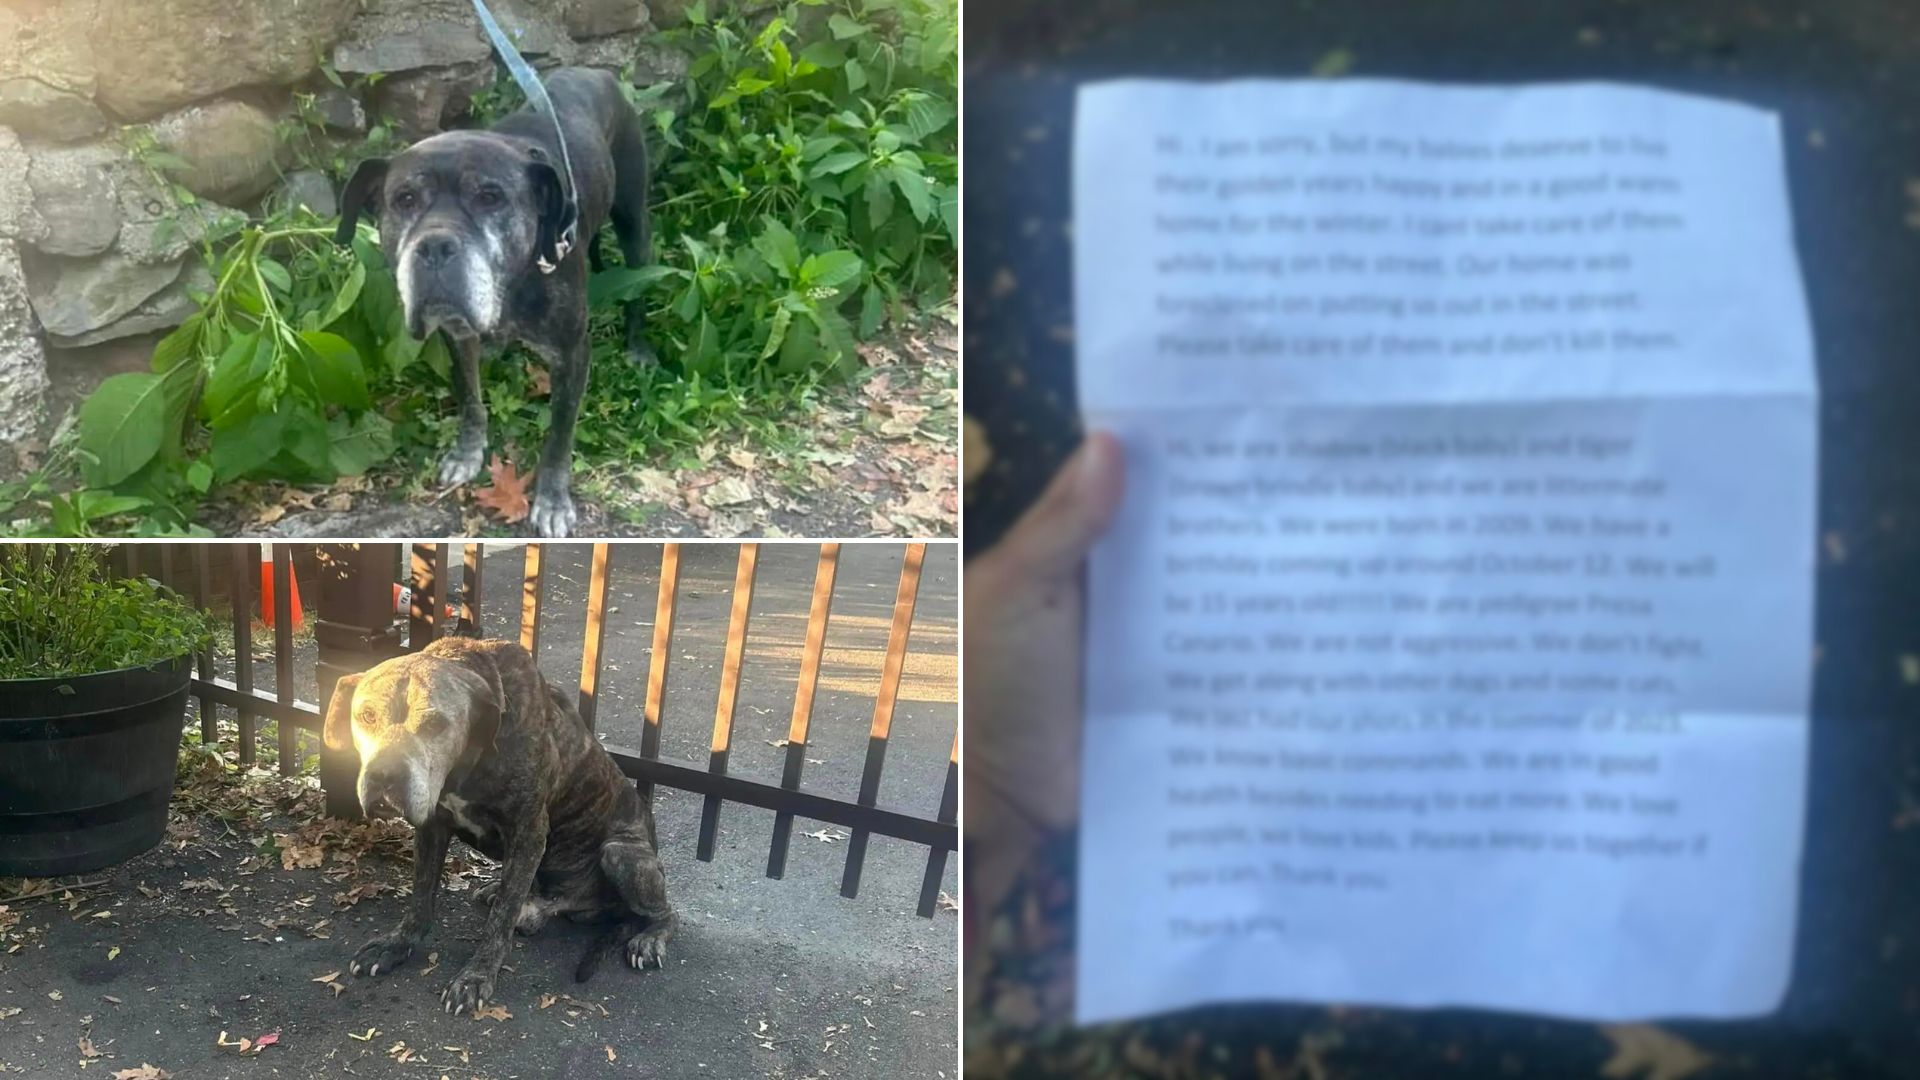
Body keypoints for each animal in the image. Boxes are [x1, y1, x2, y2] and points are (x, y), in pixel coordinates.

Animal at [330, 630, 683, 1006]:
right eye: (366, 716)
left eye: (436, 724)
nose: (385, 776)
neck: (471, 757)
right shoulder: (431, 826)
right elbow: (421, 894)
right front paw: (397, 944)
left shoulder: (528, 835)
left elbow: (499, 920)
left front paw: (477, 975)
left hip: (622, 854)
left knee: (666, 911)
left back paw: (649, 939)